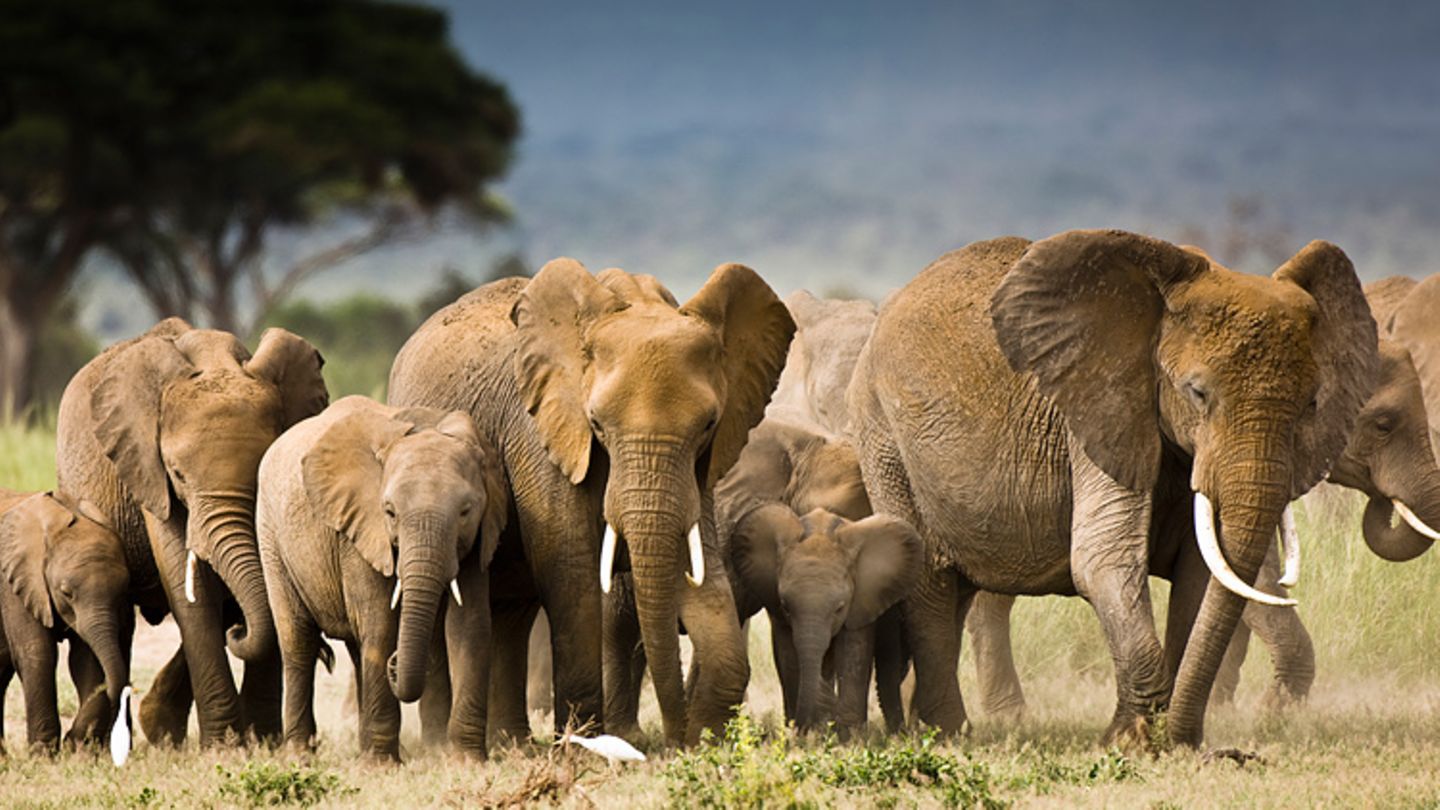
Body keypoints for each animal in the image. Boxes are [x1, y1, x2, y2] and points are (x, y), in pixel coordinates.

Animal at [0, 490, 132, 755]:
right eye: (66, 593)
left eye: (123, 592)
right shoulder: (13, 585)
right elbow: (38, 653)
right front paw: (43, 755)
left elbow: (87, 659)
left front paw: (78, 748)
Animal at [54, 317, 328, 743]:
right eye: (178, 474)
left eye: (262, 467)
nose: (240, 632)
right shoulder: (148, 470)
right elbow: (192, 591)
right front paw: (225, 746)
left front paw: (261, 743)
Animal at [256, 394, 509, 760]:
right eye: (389, 512)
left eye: (465, 512)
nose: (396, 664)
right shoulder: (360, 529)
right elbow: (380, 623)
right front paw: (382, 766)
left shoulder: (479, 536)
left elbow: (469, 624)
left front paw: (468, 761)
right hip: (271, 536)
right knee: (298, 640)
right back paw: (300, 755)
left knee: (357, 648)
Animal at [388, 257, 794, 743]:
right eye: (597, 423)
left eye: (709, 424)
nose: (675, 738)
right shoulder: (541, 433)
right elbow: (571, 570)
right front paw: (585, 747)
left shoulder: (702, 469)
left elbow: (701, 570)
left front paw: (706, 742)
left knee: (511, 614)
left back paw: (512, 746)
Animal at [846, 229, 1376, 743]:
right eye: (1197, 393)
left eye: (1311, 404)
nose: (1185, 738)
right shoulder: (1097, 411)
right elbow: (1102, 559)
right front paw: (1131, 740)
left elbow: (1200, 574)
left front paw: (1169, 737)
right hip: (884, 439)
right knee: (931, 582)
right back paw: (948, 733)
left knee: (957, 589)